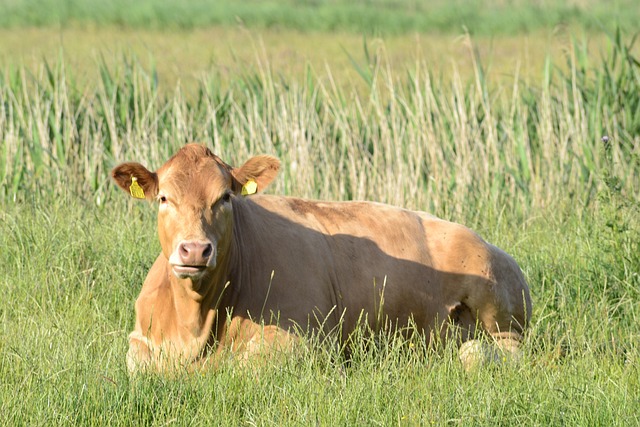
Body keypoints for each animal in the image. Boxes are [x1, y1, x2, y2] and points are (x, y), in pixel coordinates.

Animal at [112, 143, 532, 372]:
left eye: (225, 197)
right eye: (164, 198)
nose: (195, 249)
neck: (194, 323)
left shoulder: (305, 340)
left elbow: (243, 365)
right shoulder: (139, 339)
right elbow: (137, 362)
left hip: (499, 307)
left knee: (491, 351)